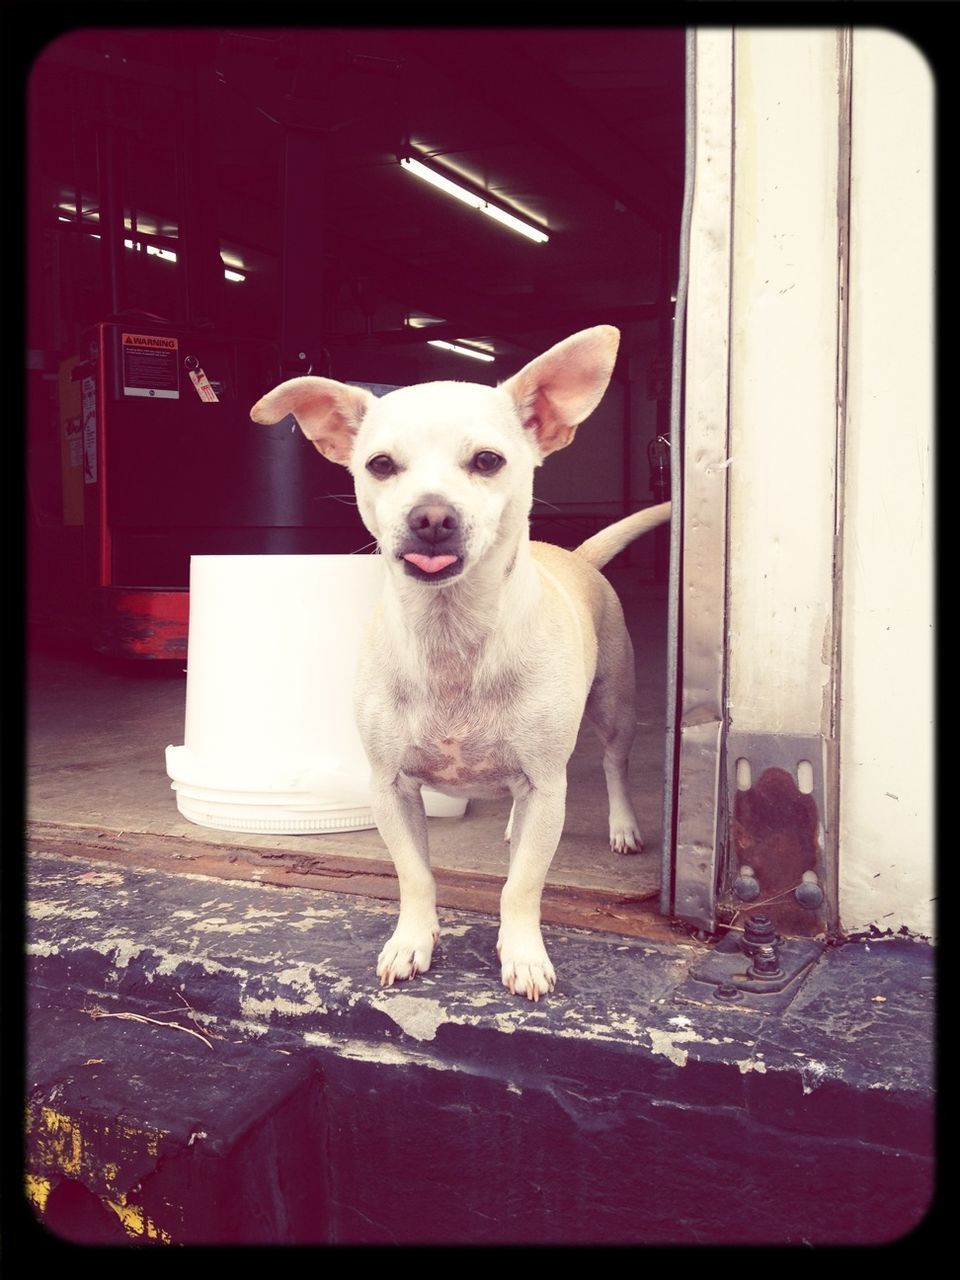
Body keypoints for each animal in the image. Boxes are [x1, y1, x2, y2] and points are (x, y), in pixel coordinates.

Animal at [257, 327, 675, 998]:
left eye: (487, 461)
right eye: (380, 465)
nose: (431, 516)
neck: (451, 634)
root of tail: (577, 556)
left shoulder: (546, 786)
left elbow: (521, 885)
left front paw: (523, 953)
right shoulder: (391, 790)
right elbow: (417, 876)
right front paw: (412, 941)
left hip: (614, 707)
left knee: (614, 765)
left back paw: (622, 826)